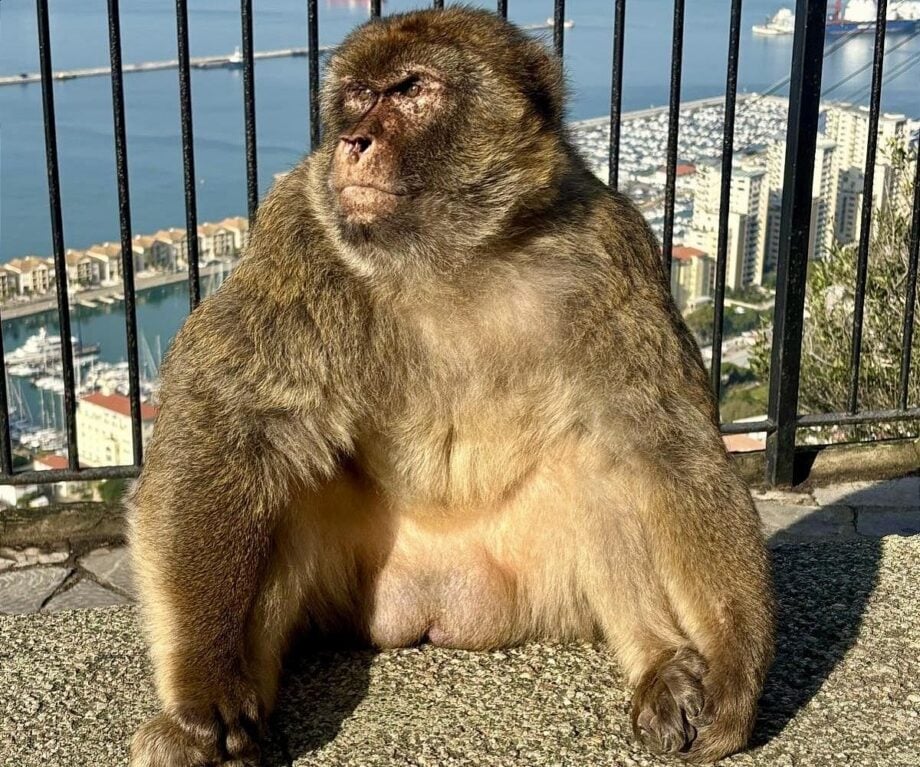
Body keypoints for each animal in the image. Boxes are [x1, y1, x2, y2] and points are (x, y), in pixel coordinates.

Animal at [128, 7, 774, 766]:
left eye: (410, 89)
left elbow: (666, 442)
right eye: (356, 95)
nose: (352, 140)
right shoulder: (298, 229)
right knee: (288, 469)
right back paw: (238, 717)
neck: (452, 257)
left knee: (601, 460)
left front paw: (733, 663)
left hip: (542, 583)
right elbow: (233, 419)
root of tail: (437, 607)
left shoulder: (615, 248)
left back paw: (663, 663)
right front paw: (206, 692)